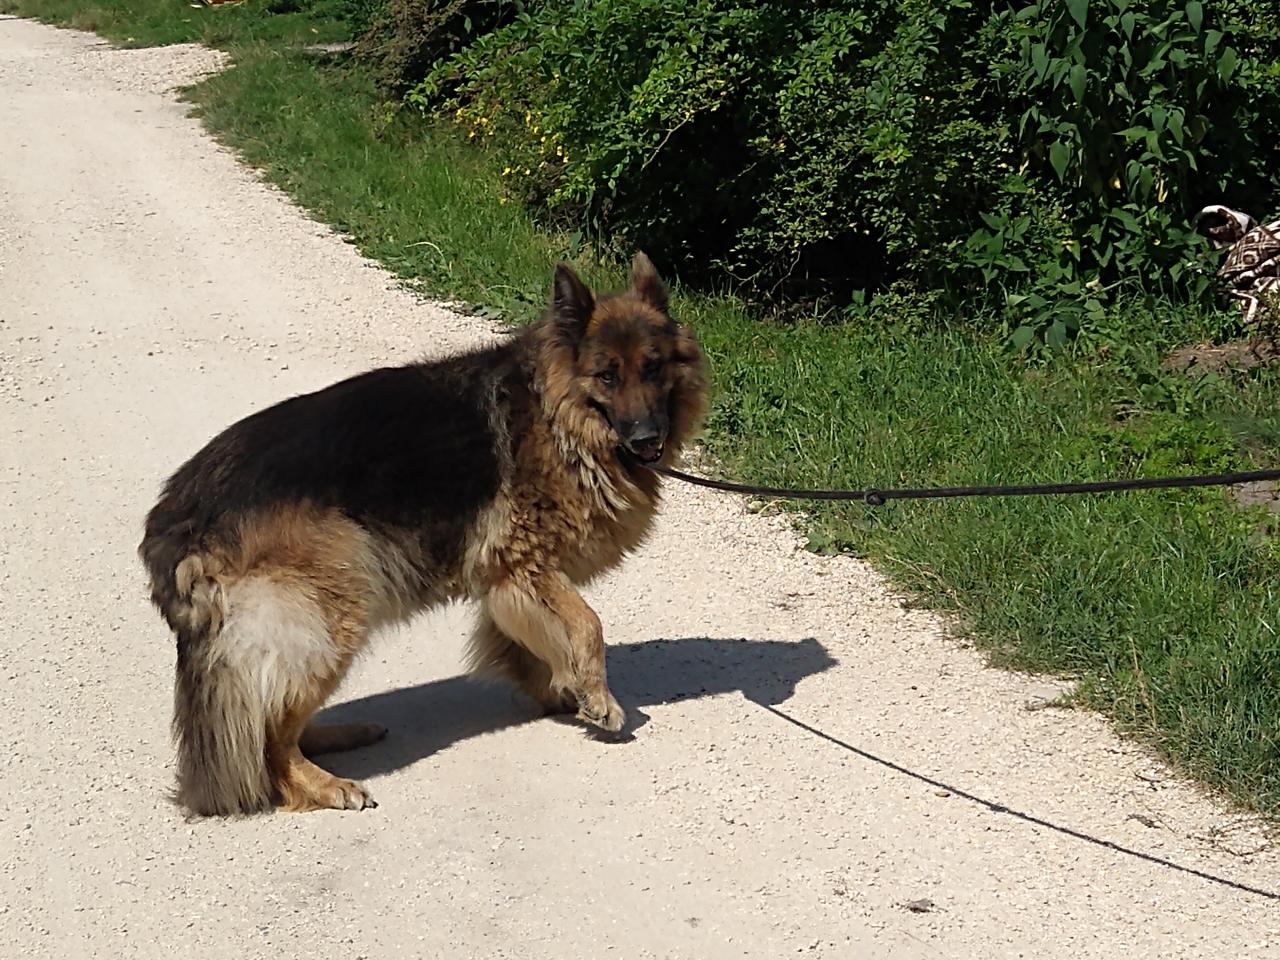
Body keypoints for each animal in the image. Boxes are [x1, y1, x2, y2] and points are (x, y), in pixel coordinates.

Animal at [138, 253, 706, 816]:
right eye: (607, 376)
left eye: (653, 368)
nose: (647, 436)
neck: (558, 412)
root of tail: (176, 516)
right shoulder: (524, 563)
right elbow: (588, 624)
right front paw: (598, 698)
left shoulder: (511, 583)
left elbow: (531, 642)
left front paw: (564, 692)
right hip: (335, 611)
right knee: (273, 737)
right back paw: (323, 784)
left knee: (273, 715)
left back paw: (336, 737)